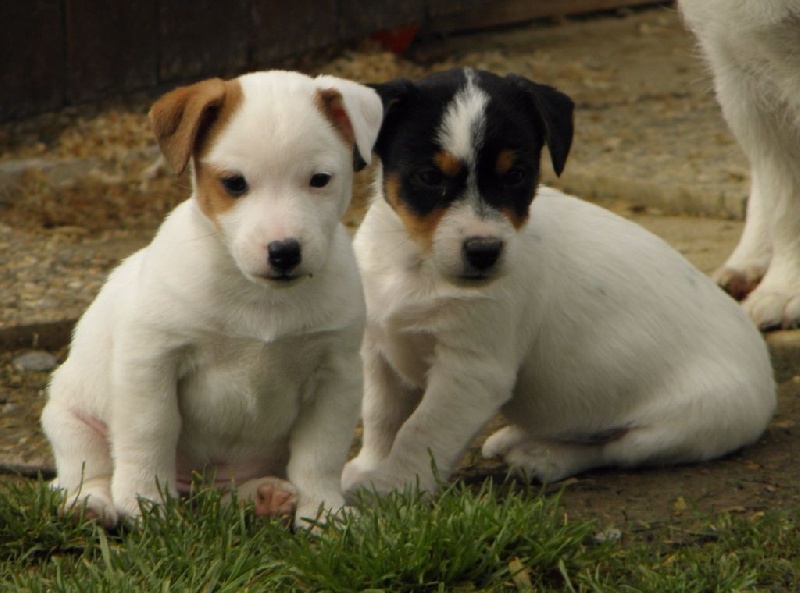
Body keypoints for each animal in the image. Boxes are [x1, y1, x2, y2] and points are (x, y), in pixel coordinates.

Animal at [42, 70, 386, 528]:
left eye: (320, 179)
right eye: (234, 183)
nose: (284, 251)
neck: (258, 296)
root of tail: (194, 489)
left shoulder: (336, 377)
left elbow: (320, 454)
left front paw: (323, 514)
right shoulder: (151, 362)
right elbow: (150, 433)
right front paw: (144, 503)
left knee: (226, 497)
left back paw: (264, 497)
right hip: (71, 420)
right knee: (87, 471)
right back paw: (93, 505)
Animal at [342, 67, 776, 498]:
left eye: (517, 175)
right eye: (429, 177)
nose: (484, 250)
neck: (416, 265)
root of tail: (768, 382)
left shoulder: (471, 372)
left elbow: (420, 432)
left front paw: (392, 488)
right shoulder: (378, 351)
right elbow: (381, 418)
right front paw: (369, 468)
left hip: (678, 427)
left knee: (609, 448)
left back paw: (542, 457)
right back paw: (514, 438)